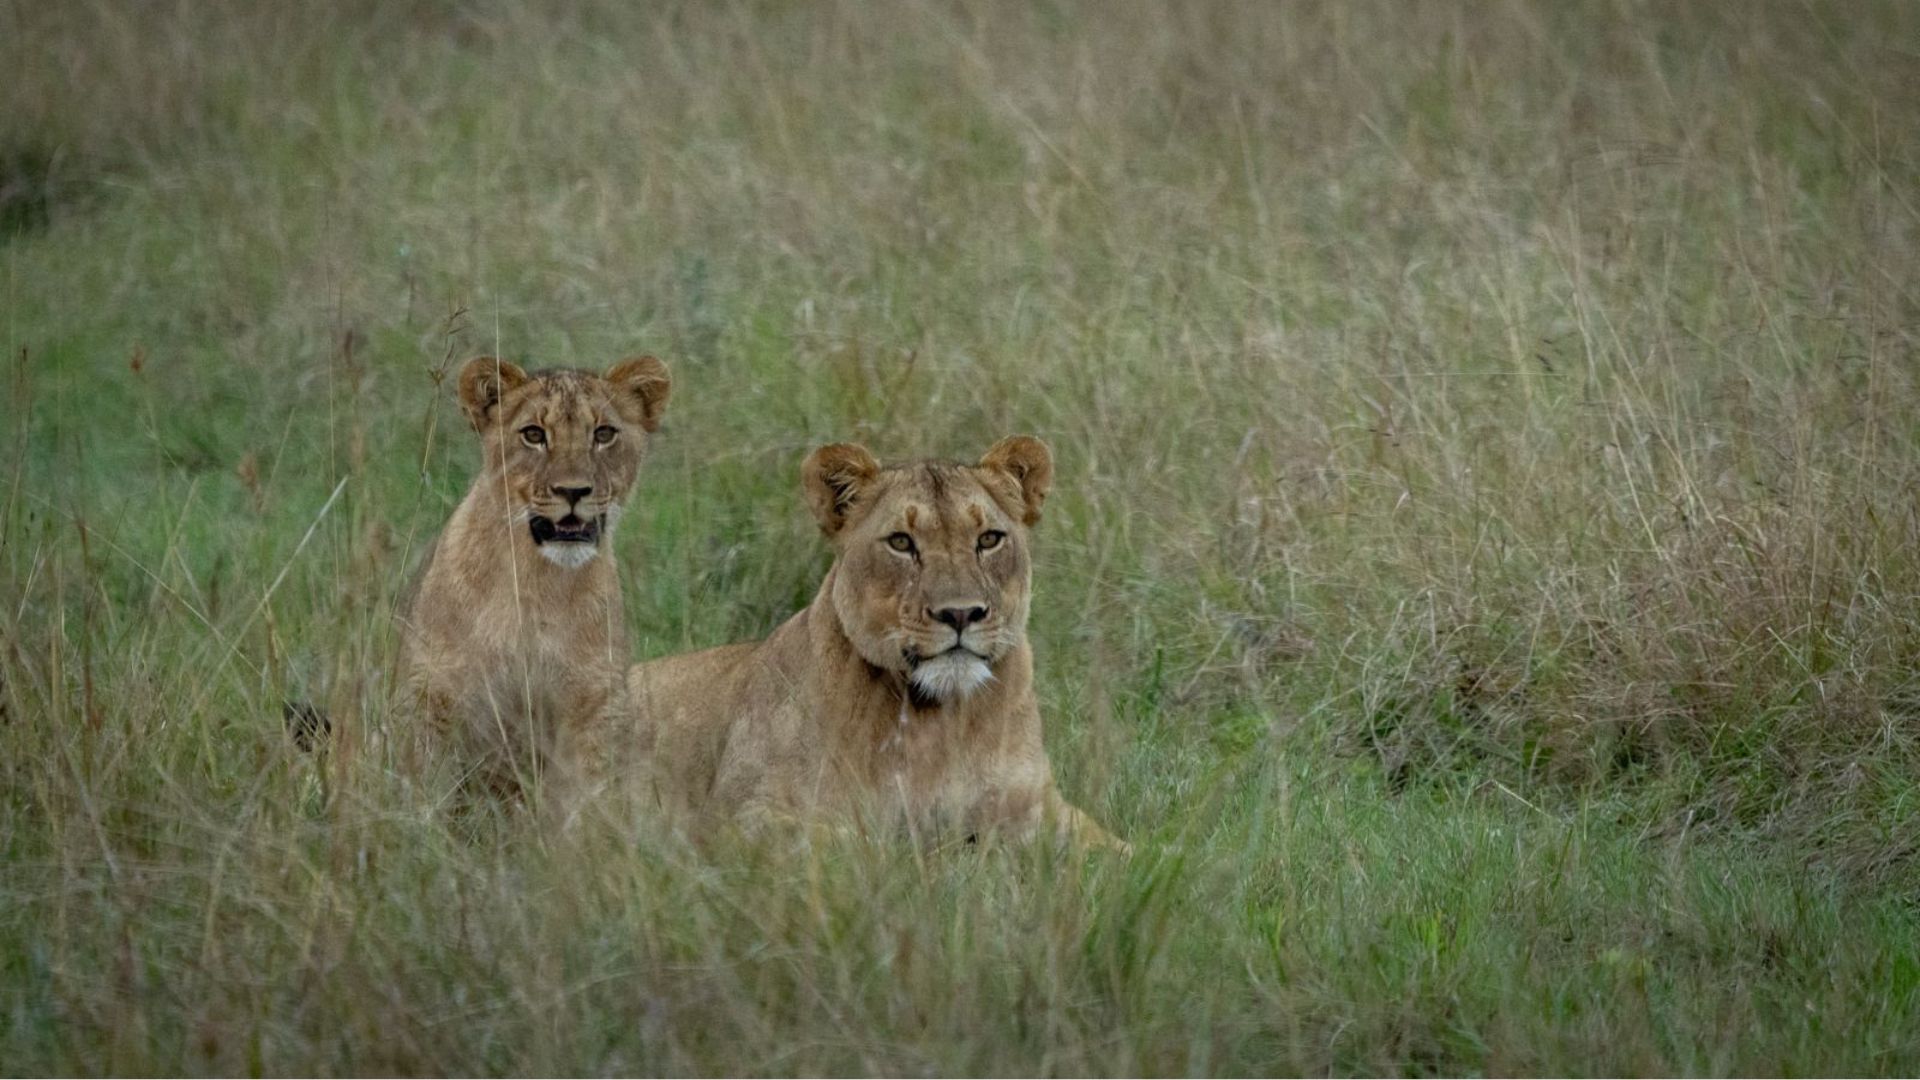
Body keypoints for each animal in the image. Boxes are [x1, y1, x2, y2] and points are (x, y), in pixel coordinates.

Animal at [399, 354, 670, 814]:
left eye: (603, 434)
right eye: (533, 435)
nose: (573, 491)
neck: (537, 584)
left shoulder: (594, 704)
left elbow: (590, 801)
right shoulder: (435, 695)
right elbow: (426, 790)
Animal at [626, 436, 1129, 853]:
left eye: (988, 539)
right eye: (901, 543)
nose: (960, 614)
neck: (939, 720)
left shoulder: (1041, 808)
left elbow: (1123, 853)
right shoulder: (734, 819)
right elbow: (864, 843)